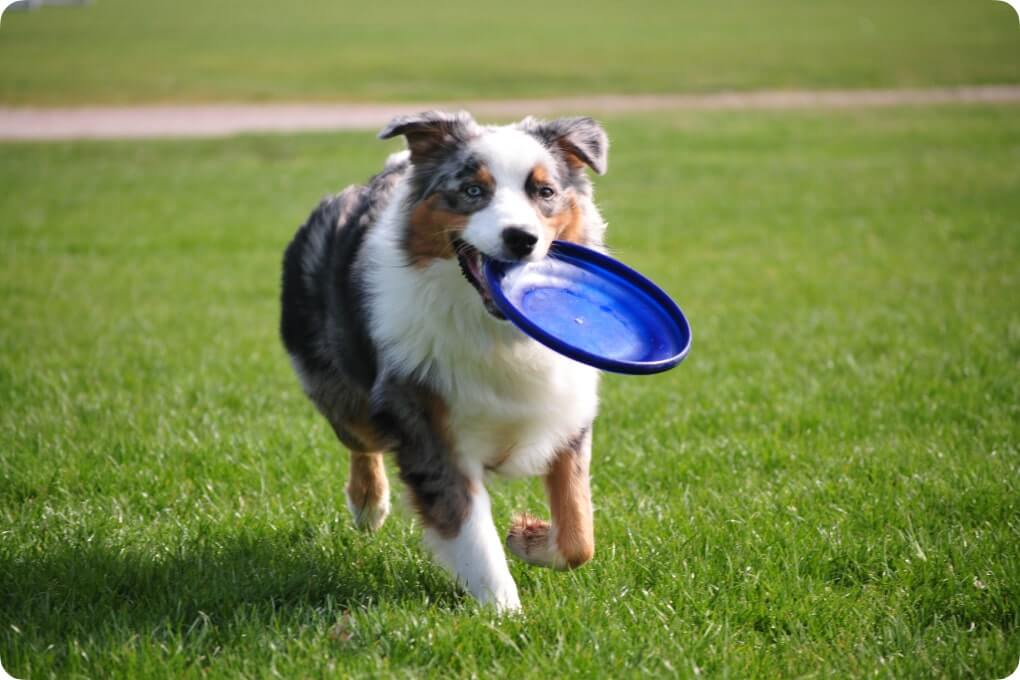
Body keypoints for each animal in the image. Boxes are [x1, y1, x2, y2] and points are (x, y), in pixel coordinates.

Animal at [279, 110, 607, 611]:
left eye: (544, 192)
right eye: (472, 191)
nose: (521, 239)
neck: (493, 329)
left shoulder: (566, 410)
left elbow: (578, 535)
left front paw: (528, 538)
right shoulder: (427, 426)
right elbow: (473, 533)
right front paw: (505, 613)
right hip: (344, 395)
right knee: (361, 441)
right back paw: (368, 505)